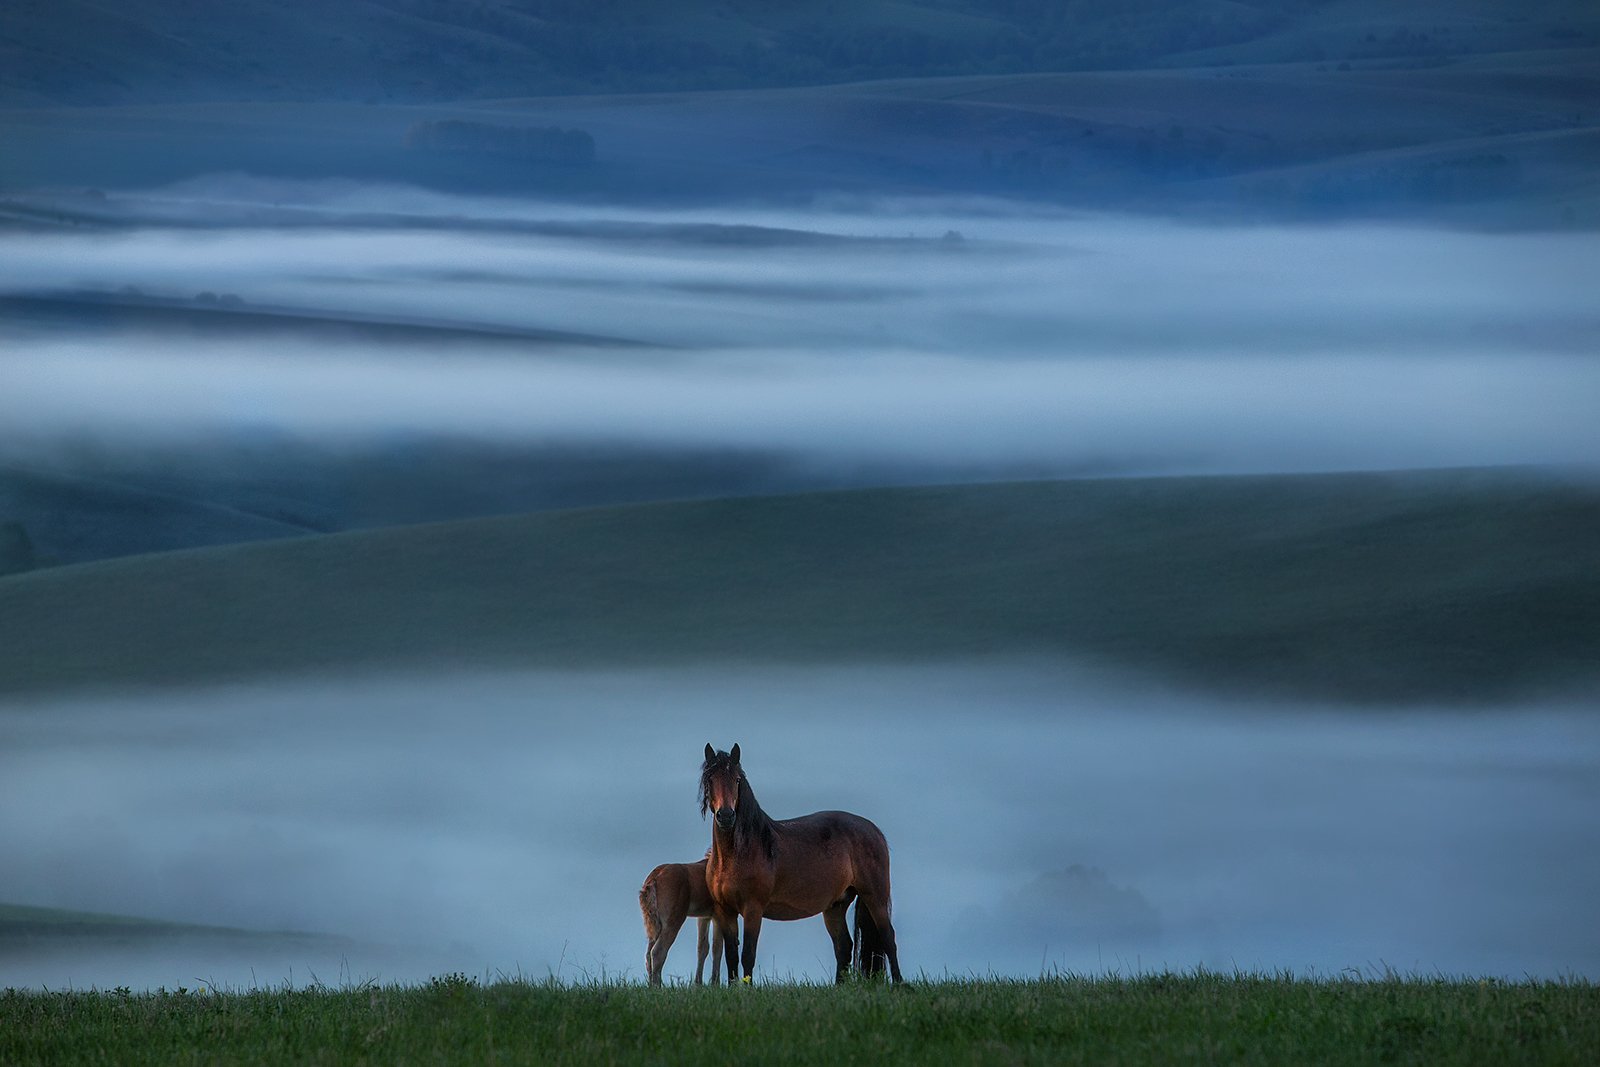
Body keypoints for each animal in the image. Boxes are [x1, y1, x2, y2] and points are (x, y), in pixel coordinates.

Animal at [636, 857, 726, 985]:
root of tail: (655, 877)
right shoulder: (719, 915)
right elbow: (717, 947)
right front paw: (715, 984)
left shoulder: (704, 916)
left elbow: (703, 947)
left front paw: (698, 983)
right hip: (673, 920)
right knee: (657, 952)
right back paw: (658, 987)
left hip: (654, 924)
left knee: (648, 954)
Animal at [697, 742, 902, 985]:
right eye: (710, 779)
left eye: (737, 780)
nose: (726, 816)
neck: (737, 854)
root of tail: (874, 830)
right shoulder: (725, 911)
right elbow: (731, 957)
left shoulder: (753, 909)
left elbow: (748, 955)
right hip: (835, 906)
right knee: (844, 946)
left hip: (875, 897)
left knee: (888, 938)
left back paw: (900, 984)